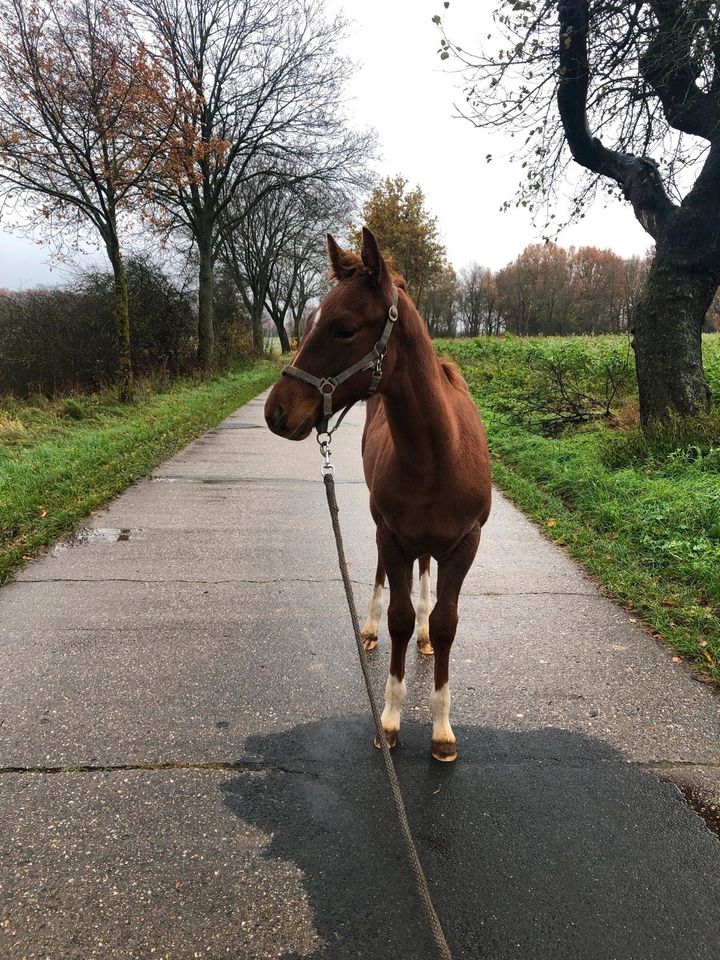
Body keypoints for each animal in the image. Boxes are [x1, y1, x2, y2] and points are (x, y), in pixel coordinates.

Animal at [268, 229, 492, 760]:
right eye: (312, 321)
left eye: (344, 329)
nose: (276, 412)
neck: (437, 456)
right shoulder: (392, 536)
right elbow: (398, 618)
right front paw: (388, 720)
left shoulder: (465, 544)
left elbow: (447, 623)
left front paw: (442, 729)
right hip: (383, 529)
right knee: (381, 575)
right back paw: (367, 627)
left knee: (426, 574)